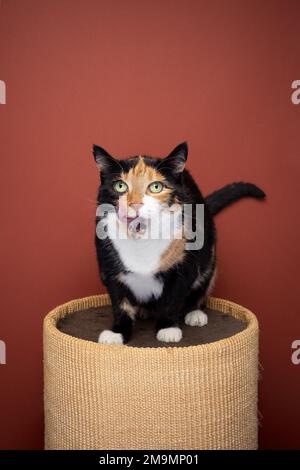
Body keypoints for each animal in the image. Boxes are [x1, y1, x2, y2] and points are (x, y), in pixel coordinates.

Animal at [92, 141, 264, 344]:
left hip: (209, 251)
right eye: (120, 186)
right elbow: (120, 303)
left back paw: (195, 313)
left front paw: (168, 328)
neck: (142, 238)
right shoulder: (108, 265)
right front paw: (117, 332)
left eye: (156, 187)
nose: (135, 204)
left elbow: (173, 297)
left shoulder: (185, 264)